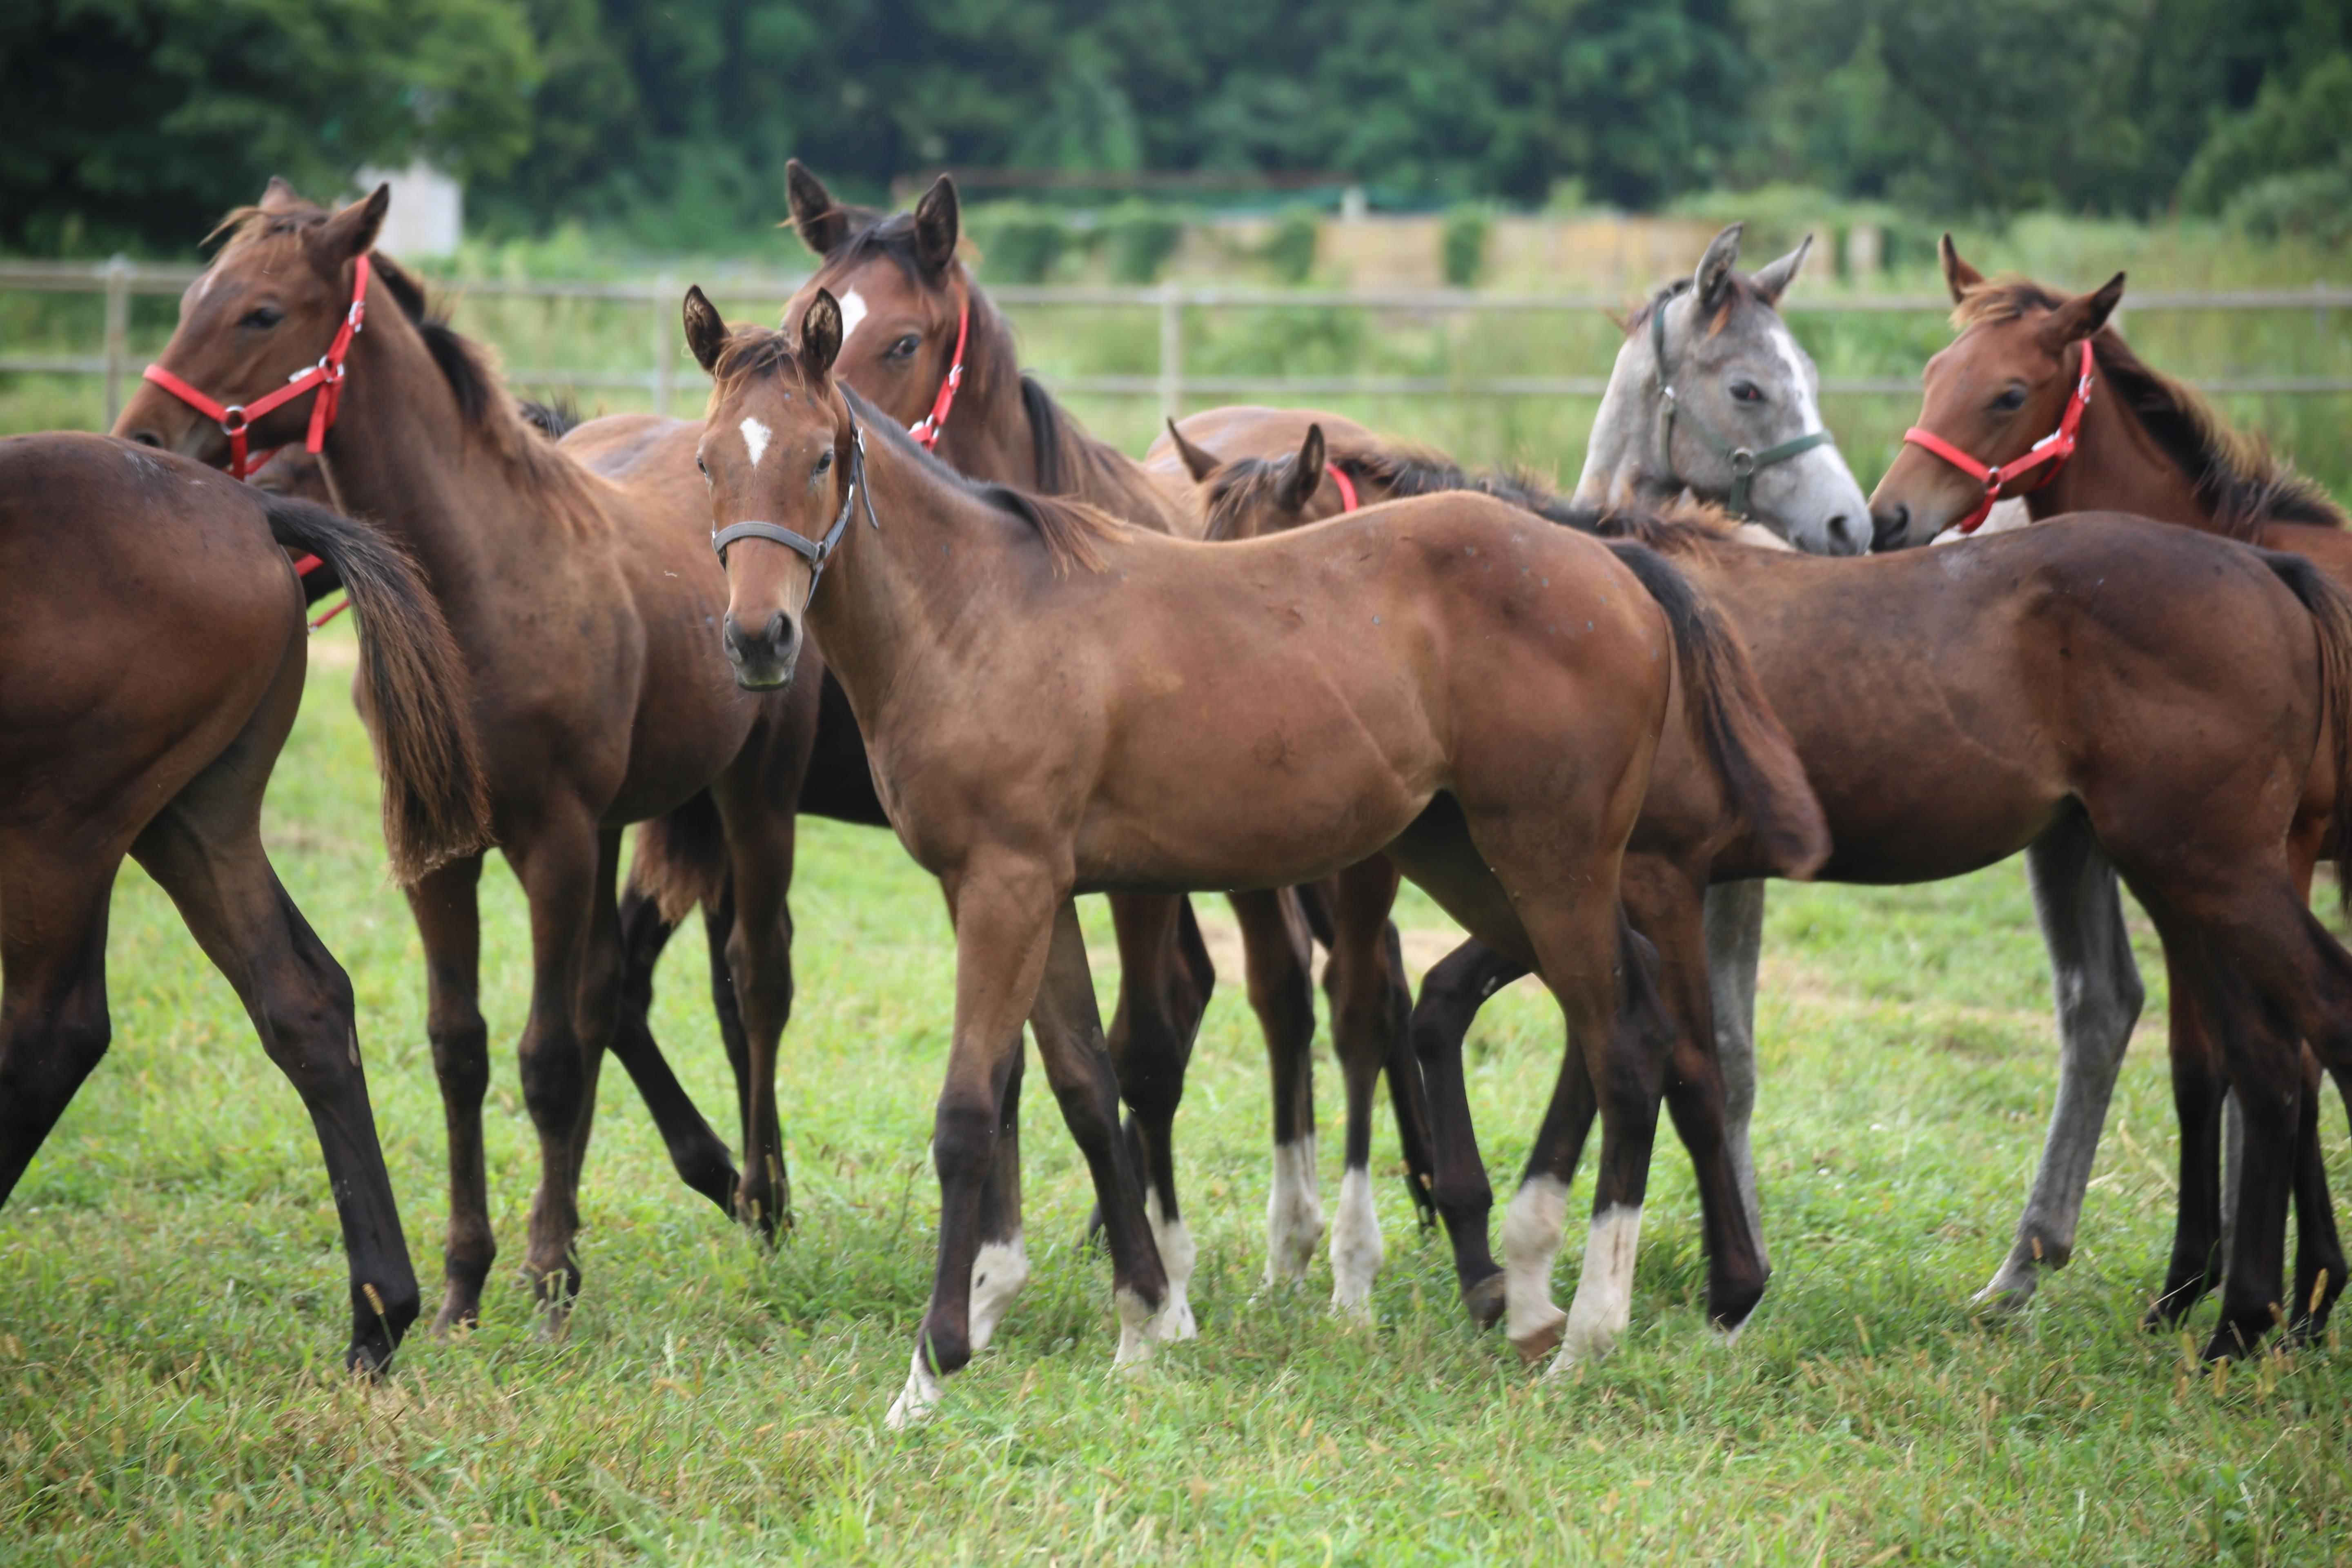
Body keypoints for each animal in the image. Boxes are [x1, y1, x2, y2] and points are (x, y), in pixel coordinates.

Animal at [0, 432, 484, 1373]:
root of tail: (246, 507)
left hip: (59, 831)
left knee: (57, 1026)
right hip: (193, 821)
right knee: (304, 1003)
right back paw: (380, 1315)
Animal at [114, 187, 823, 1335]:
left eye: (262, 312)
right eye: (189, 300)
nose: (140, 438)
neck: (479, 583)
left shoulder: (553, 843)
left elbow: (545, 1056)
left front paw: (545, 1273)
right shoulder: (440, 851)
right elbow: (463, 1046)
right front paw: (465, 1282)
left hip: (753, 797)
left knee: (756, 979)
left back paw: (761, 1199)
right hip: (620, 825)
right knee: (609, 993)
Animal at [682, 285, 1815, 1420]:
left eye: (819, 457)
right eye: (706, 462)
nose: (757, 640)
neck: (975, 610)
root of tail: (1614, 565)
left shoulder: (1008, 886)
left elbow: (969, 1110)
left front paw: (931, 1367)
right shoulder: (1023, 892)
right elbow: (1085, 1087)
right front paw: (1143, 1320)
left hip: (1550, 861)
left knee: (1621, 1043)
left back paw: (1588, 1330)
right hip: (1476, 863)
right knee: (1636, 1013)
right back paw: (1570, 1297)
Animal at [776, 169, 1430, 1326]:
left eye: (902, 341)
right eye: (801, 312)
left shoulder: (1122, 874)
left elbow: (1141, 1045)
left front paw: (1155, 1272)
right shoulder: (1009, 868)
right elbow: (1024, 1056)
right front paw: (997, 1268)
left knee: (1349, 989)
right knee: (1280, 990)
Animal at [1195, 421, 2352, 1363]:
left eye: (1275, 563)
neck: (1581, 606)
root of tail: (2268, 568)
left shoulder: (1650, 878)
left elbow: (1689, 1068)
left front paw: (1723, 1288)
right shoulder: (1577, 890)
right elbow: (1471, 1014)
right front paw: (1503, 1259)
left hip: (2207, 871)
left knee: (2292, 1037)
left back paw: (2245, 1317)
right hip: (2181, 875)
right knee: (2252, 1056)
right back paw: (2245, 1305)